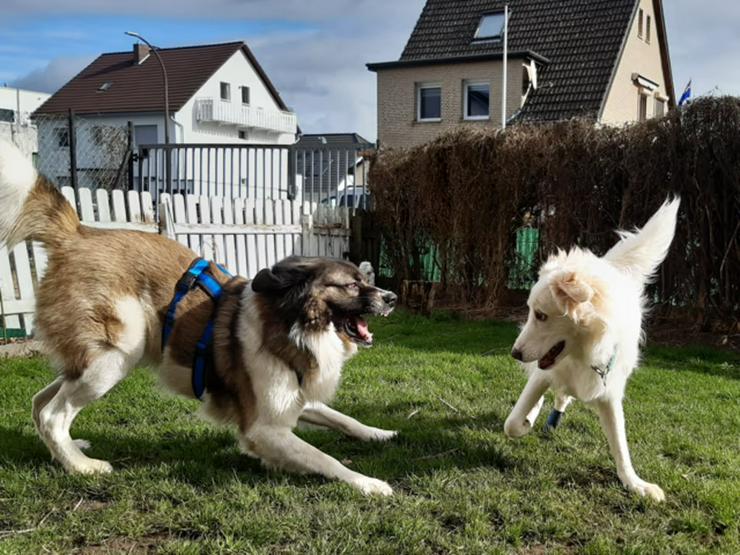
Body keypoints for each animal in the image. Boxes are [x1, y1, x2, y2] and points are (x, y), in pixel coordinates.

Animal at [0, 141, 398, 498]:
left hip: (92, 361)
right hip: (115, 356)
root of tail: (77, 233)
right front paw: (368, 483)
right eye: (351, 285)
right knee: (53, 415)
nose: (392, 298)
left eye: (365, 279)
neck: (293, 324)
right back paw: (82, 467)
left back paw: (69, 451)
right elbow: (326, 459)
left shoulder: (294, 401)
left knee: (40, 403)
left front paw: (379, 433)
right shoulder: (264, 428)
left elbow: (342, 417)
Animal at [506, 198, 680, 502]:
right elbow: (513, 421)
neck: (583, 353)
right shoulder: (543, 374)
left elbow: (621, 447)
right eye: (529, 313)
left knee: (562, 397)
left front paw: (635, 483)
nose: (515, 353)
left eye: (541, 315)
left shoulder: (609, 391)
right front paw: (526, 421)